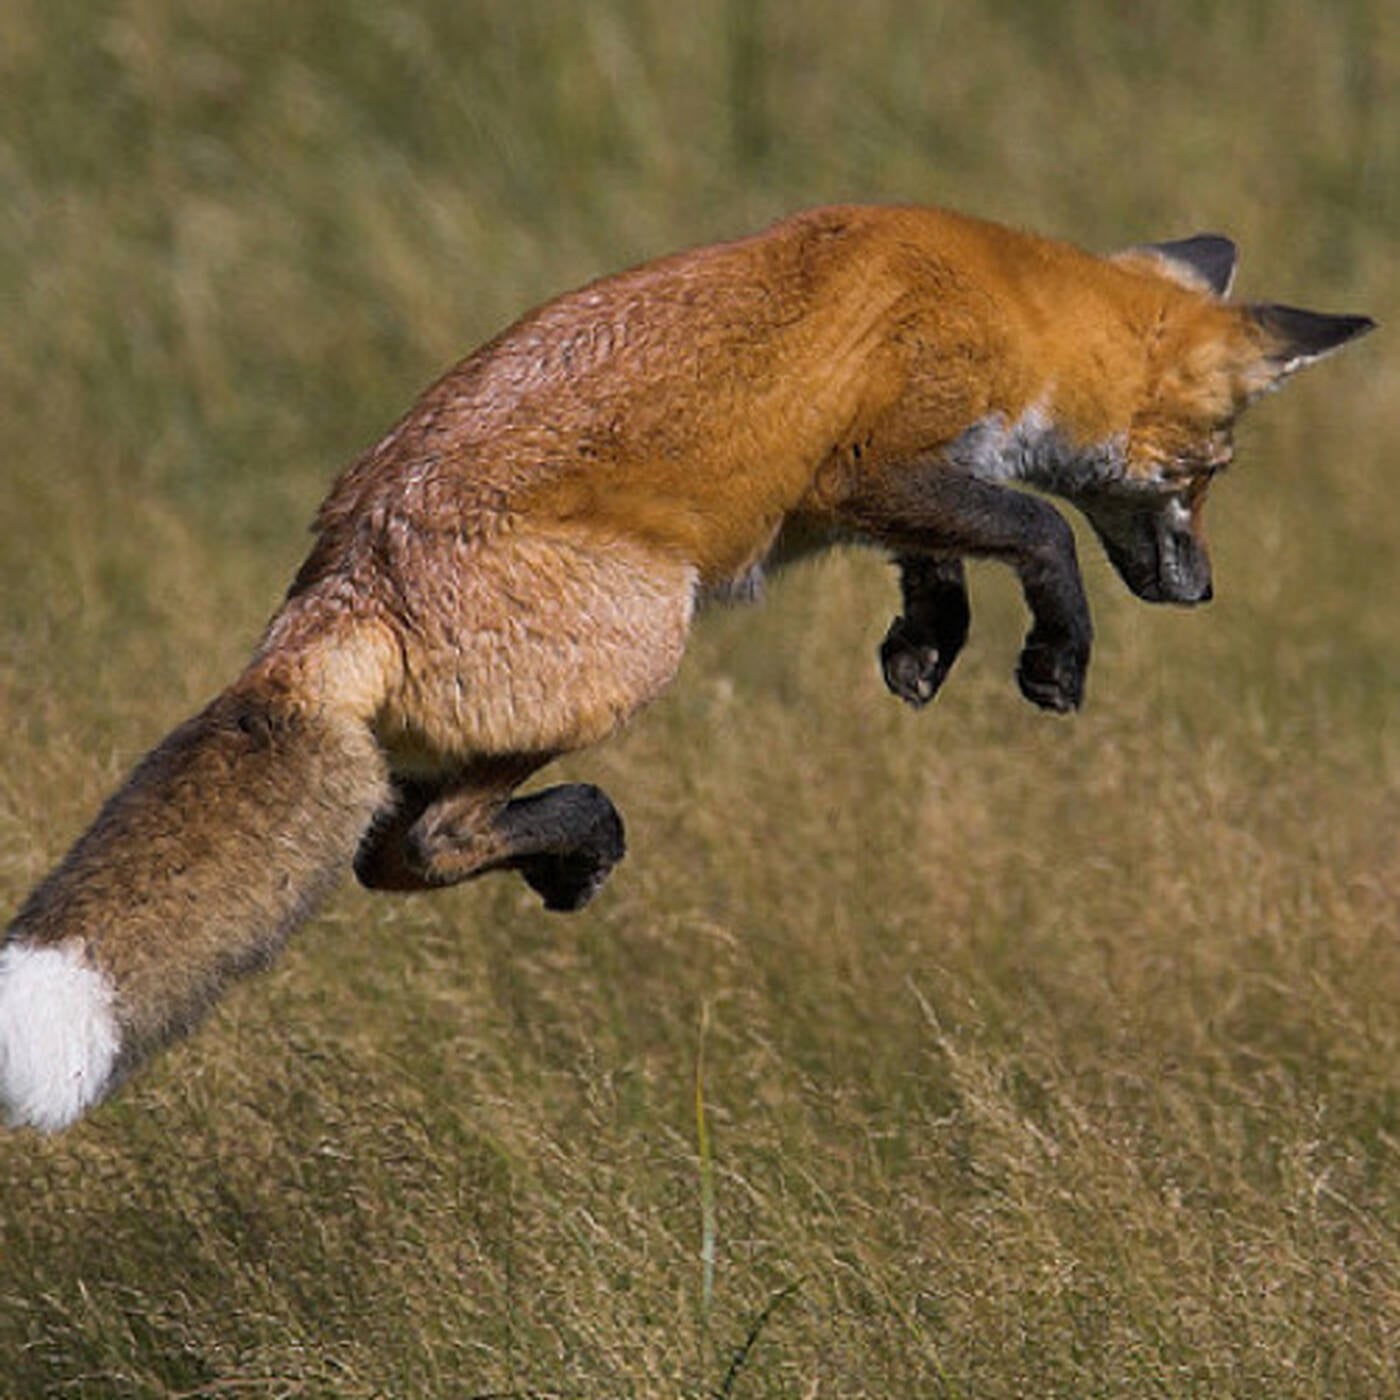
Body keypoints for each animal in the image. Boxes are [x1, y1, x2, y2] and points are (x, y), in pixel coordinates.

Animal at [0, 203, 1373, 1131]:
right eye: (1208, 472)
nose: (1198, 592)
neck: (1006, 303)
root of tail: (339, 580)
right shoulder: (871, 462)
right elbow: (1035, 530)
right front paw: (1053, 653)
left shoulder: (883, 496)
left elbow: (939, 562)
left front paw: (925, 647)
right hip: (643, 640)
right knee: (419, 843)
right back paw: (581, 836)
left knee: (388, 854)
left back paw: (565, 851)